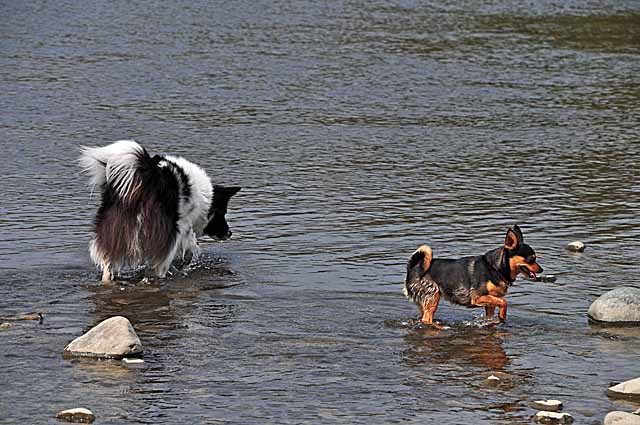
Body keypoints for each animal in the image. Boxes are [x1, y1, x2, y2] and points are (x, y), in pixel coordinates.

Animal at [80, 140, 240, 282]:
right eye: (222, 213)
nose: (229, 233)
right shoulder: (184, 228)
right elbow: (189, 251)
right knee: (159, 268)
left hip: (114, 231)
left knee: (108, 267)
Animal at [402, 225, 544, 324]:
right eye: (531, 259)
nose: (541, 269)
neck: (495, 268)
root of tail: (413, 268)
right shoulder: (478, 297)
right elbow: (504, 302)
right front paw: (502, 315)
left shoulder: (490, 303)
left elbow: (494, 309)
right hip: (432, 297)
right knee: (426, 320)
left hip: (425, 301)